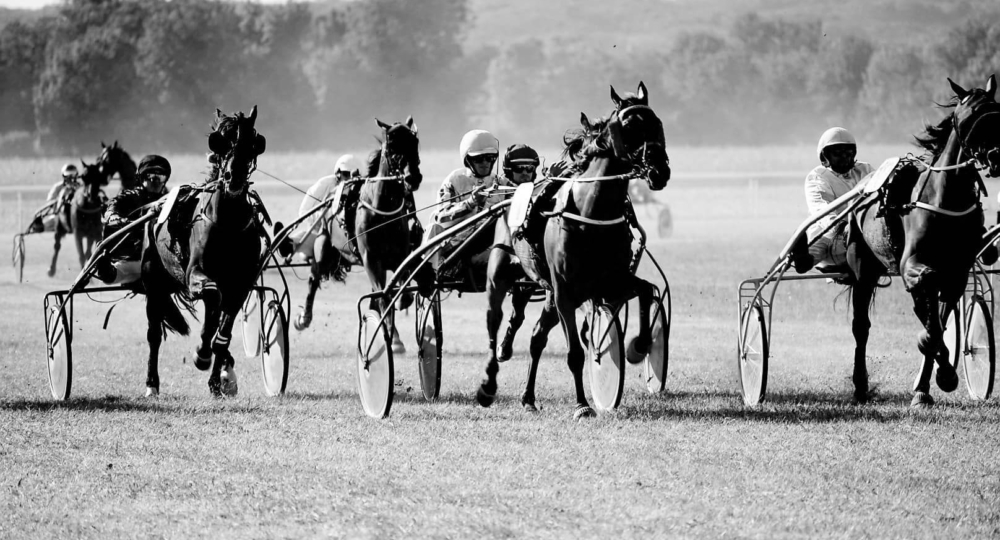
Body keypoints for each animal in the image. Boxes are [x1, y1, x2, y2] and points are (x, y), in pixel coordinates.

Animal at [141, 104, 268, 396]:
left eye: (253, 142)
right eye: (219, 141)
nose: (234, 177)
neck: (228, 223)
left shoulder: (240, 284)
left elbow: (224, 331)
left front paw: (216, 378)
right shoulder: (196, 273)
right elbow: (211, 295)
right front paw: (201, 353)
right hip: (154, 282)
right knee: (154, 333)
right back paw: (152, 383)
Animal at [356, 117, 422, 352]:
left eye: (414, 142)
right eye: (392, 146)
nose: (413, 177)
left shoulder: (400, 256)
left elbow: (400, 290)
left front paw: (403, 299)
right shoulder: (371, 260)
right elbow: (384, 298)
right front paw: (390, 338)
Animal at [478, 81, 672, 418]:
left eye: (657, 122)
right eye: (630, 125)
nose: (660, 171)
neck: (592, 212)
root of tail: (508, 197)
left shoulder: (611, 281)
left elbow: (647, 290)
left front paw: (638, 346)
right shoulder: (566, 292)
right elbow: (575, 354)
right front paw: (582, 405)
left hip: (550, 295)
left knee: (536, 337)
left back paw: (528, 398)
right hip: (503, 278)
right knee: (495, 324)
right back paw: (489, 384)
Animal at [844, 75, 1000, 404]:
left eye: (997, 113)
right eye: (968, 117)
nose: (995, 155)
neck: (946, 200)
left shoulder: (956, 273)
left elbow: (938, 319)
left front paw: (929, 383)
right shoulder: (912, 265)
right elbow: (930, 317)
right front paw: (941, 370)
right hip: (863, 269)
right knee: (861, 327)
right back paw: (861, 385)